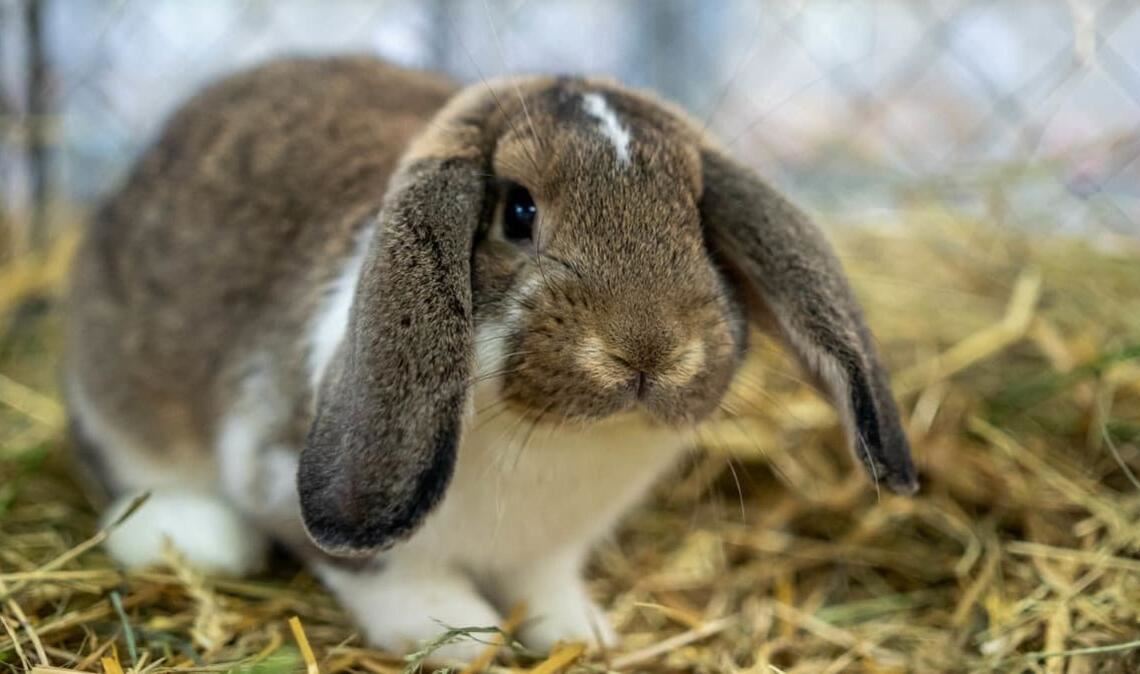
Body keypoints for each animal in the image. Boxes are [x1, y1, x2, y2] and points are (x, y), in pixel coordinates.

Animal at [64, 55, 918, 662]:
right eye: (517, 210)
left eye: (698, 221)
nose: (650, 350)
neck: (554, 438)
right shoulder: (279, 469)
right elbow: (389, 575)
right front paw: (462, 636)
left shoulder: (552, 549)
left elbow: (544, 587)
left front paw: (579, 634)